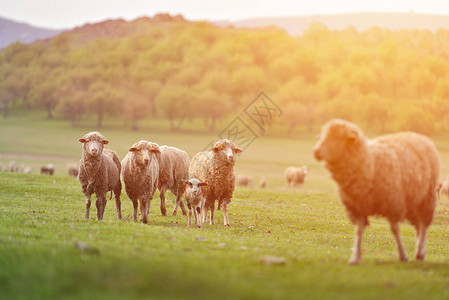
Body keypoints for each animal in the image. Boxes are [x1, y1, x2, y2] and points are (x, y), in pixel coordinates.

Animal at [312, 118, 438, 264]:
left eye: (337, 137)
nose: (316, 152)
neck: (368, 162)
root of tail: (416, 134)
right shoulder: (358, 206)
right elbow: (358, 231)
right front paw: (355, 257)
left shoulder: (392, 203)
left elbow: (395, 230)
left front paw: (403, 255)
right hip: (413, 200)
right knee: (418, 225)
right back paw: (419, 251)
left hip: (427, 198)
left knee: (424, 226)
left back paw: (420, 251)